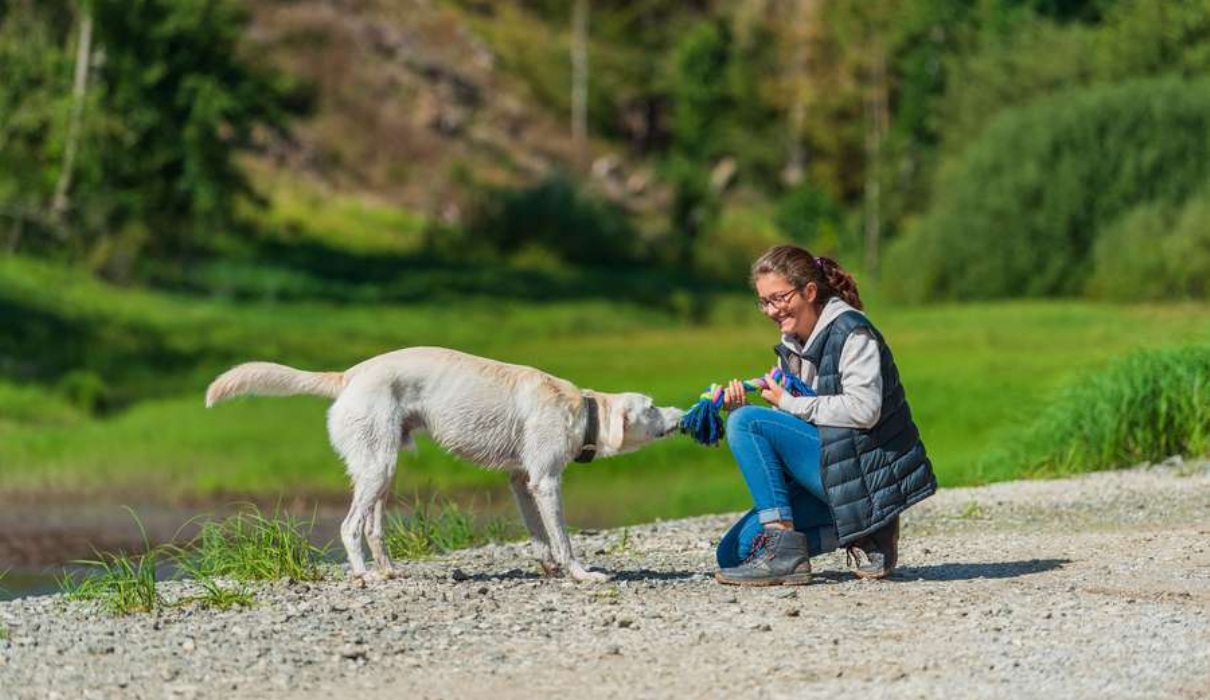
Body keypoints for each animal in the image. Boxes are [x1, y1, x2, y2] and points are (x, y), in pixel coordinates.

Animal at [203, 348, 687, 582]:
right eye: (650, 407)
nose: (682, 413)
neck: (581, 408)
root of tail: (349, 375)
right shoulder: (547, 482)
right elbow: (564, 540)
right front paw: (581, 575)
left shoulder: (522, 483)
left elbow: (539, 537)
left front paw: (549, 568)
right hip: (376, 468)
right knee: (350, 526)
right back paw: (363, 575)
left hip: (383, 468)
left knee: (373, 528)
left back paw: (389, 571)